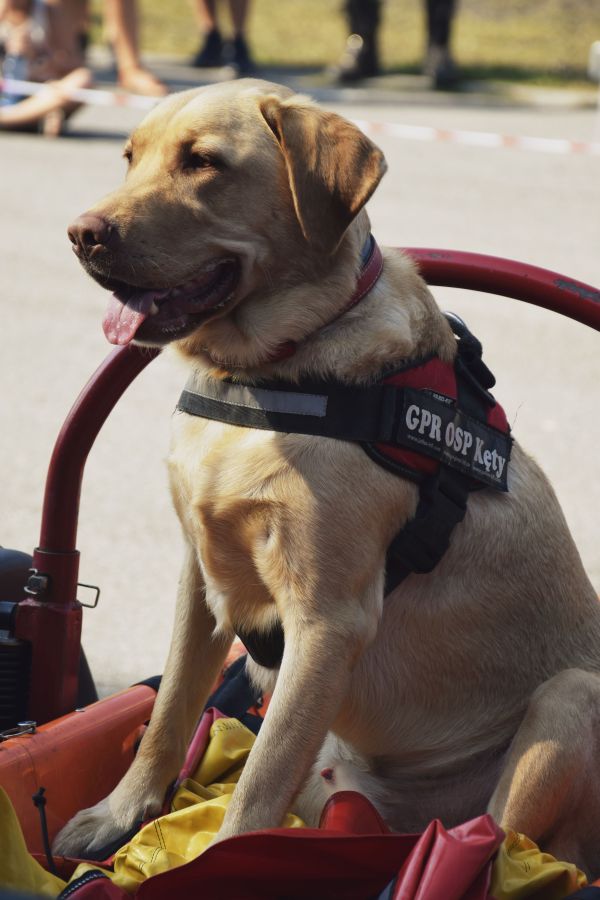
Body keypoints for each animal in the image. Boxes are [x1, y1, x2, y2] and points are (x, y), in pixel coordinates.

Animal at [54, 79, 600, 877]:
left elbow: (258, 781)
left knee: (509, 843)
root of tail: (408, 821)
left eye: (203, 163)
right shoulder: (201, 578)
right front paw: (120, 815)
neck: (265, 374)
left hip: (567, 701)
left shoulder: (325, 623)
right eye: (131, 156)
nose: (81, 234)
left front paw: (222, 863)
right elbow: (167, 713)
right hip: (332, 777)